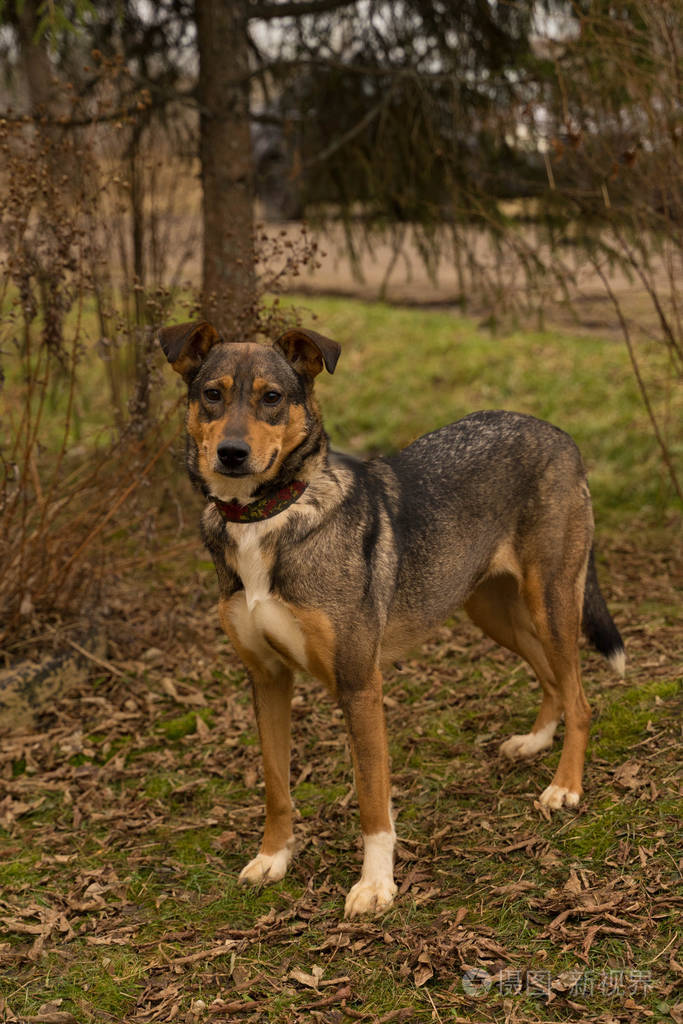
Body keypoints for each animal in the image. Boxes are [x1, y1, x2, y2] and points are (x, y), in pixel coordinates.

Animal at [158, 319, 626, 921]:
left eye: (272, 398)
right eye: (212, 394)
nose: (232, 454)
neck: (269, 518)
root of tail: (557, 432)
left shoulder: (360, 684)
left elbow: (372, 800)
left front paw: (376, 884)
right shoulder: (266, 679)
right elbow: (276, 786)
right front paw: (273, 858)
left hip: (552, 602)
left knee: (581, 698)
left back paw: (564, 787)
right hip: (491, 610)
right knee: (552, 681)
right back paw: (535, 741)